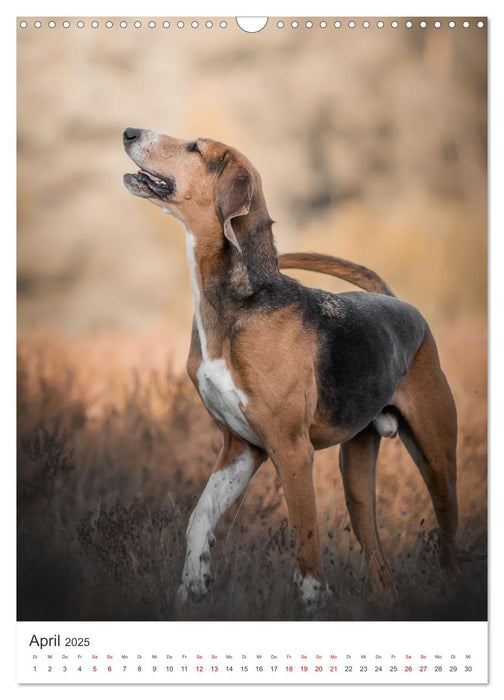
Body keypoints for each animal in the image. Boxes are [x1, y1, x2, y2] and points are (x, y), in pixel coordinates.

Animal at [124, 129, 458, 604]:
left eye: (195, 148)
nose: (129, 132)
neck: (237, 304)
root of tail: (394, 299)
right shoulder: (240, 448)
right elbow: (198, 520)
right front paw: (193, 585)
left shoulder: (291, 450)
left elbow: (306, 533)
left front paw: (312, 599)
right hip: (357, 476)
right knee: (377, 557)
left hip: (436, 457)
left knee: (449, 534)